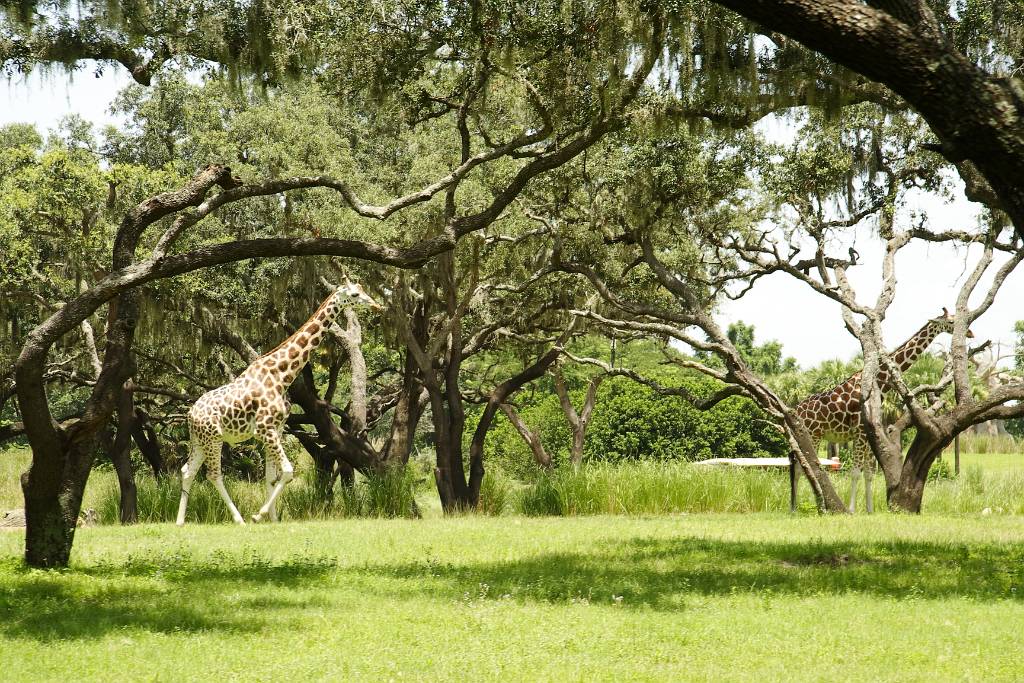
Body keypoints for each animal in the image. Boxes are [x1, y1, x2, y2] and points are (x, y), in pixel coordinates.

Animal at [178, 280, 382, 528]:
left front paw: (273, 519)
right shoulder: (265, 428)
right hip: (214, 438)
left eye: (362, 290)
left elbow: (271, 477)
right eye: (354, 294)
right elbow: (287, 471)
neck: (282, 375)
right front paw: (259, 515)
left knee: (187, 471)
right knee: (213, 475)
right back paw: (239, 519)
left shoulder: (276, 429)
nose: (377, 306)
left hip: (200, 439)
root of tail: (190, 414)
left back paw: (180, 521)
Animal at [794, 309, 970, 511]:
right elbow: (856, 471)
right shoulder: (860, 432)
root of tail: (796, 410)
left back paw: (800, 506)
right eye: (951, 321)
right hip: (813, 435)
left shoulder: (869, 434)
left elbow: (868, 473)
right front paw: (852, 510)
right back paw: (804, 507)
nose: (969, 332)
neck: (880, 383)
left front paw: (869, 510)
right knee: (804, 467)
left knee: (800, 467)